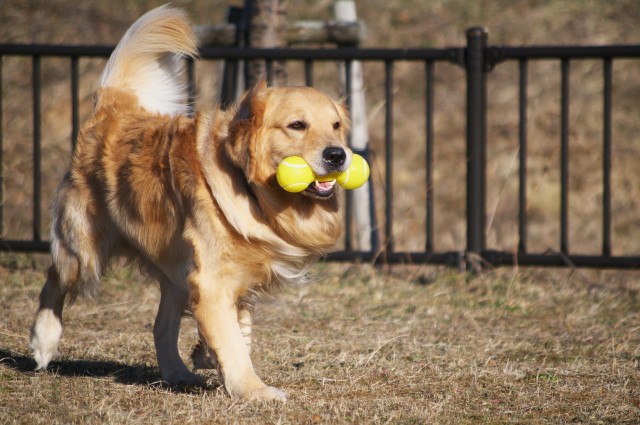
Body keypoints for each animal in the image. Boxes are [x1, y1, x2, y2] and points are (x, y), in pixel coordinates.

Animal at [30, 4, 352, 400]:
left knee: (160, 326)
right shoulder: (210, 279)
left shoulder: (233, 276)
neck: (251, 188)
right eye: (297, 125)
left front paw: (206, 354)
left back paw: (177, 371)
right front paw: (254, 390)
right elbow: (232, 342)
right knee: (54, 279)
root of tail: (113, 107)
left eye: (336, 125)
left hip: (175, 271)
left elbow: (237, 328)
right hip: (84, 250)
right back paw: (43, 343)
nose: (338, 155)